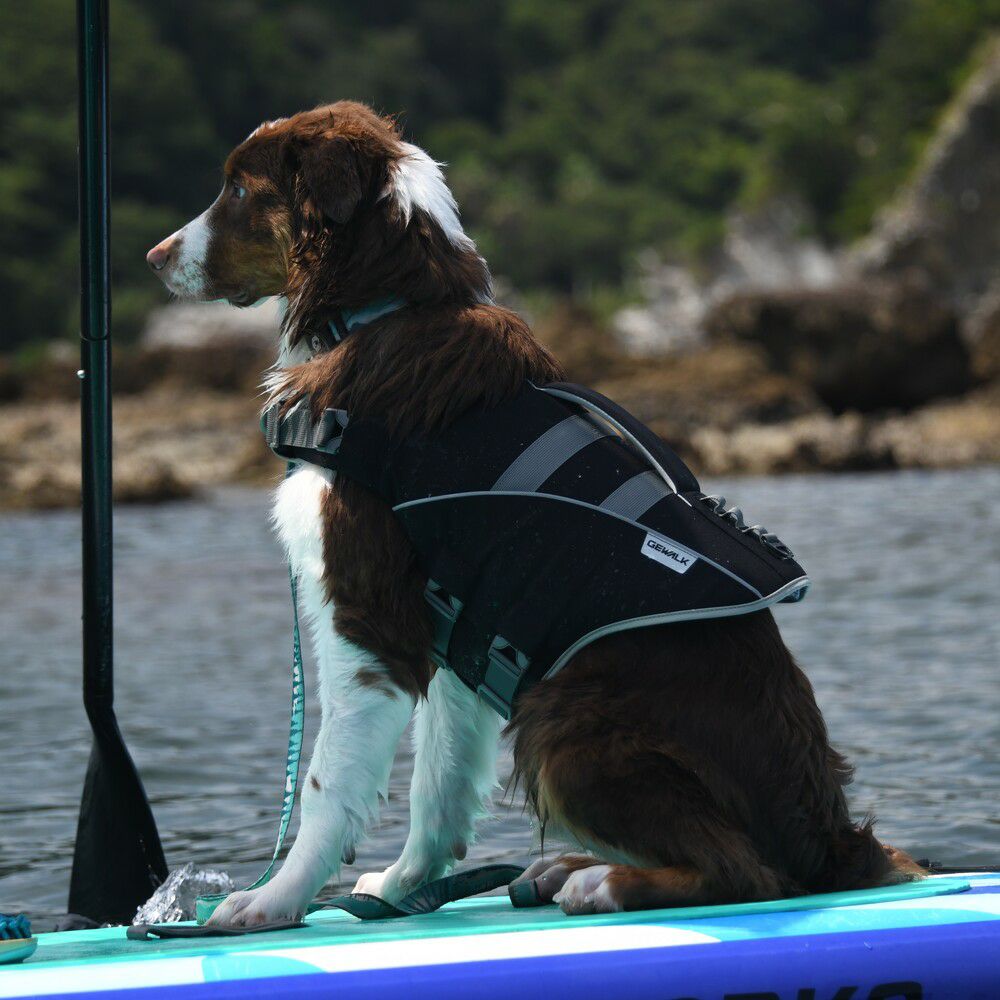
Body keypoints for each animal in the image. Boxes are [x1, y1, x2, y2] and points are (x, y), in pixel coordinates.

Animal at [146, 101, 922, 924]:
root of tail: (829, 839)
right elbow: (439, 785)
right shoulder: (463, 637)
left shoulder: (366, 622)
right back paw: (565, 870)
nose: (152, 257)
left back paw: (600, 881)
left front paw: (274, 899)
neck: (384, 308)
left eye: (237, 188)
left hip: (563, 717)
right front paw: (404, 888)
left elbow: (325, 781)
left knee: (747, 872)